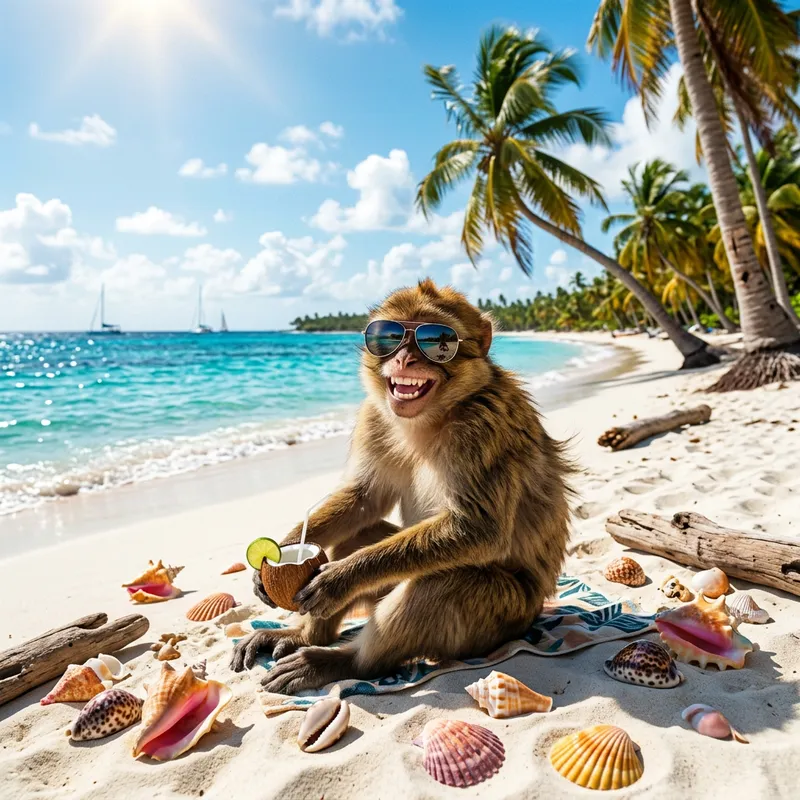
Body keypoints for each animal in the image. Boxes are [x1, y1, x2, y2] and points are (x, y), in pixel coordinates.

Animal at [231, 278, 573, 695]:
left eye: (438, 340)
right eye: (387, 336)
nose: (405, 359)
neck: (433, 416)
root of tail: (538, 608)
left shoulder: (483, 427)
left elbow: (478, 528)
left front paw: (341, 579)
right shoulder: (374, 417)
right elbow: (364, 498)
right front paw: (280, 549)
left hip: (504, 615)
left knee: (443, 582)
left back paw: (343, 662)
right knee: (351, 537)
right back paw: (306, 638)